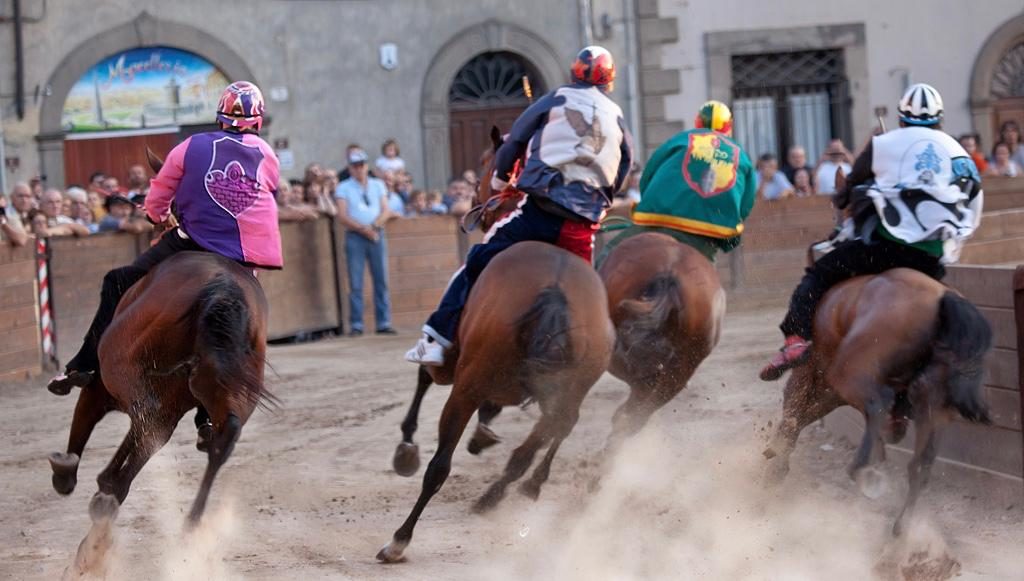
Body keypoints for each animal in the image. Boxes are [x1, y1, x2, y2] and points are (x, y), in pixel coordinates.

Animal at [378, 128, 610, 565]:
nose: (475, 202)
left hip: (465, 386)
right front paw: (486, 431)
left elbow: (424, 374)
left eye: (486, 164)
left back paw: (398, 540)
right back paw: (508, 491)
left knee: (440, 467)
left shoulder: (455, 364)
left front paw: (406, 447)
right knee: (551, 431)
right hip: (571, 384)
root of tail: (556, 288)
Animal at [761, 268, 991, 536]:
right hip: (934, 403)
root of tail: (942, 298)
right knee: (920, 464)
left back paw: (863, 473)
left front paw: (776, 462)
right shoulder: (833, 391)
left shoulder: (829, 384)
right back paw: (901, 527)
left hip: (848, 373)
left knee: (878, 405)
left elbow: (799, 412)